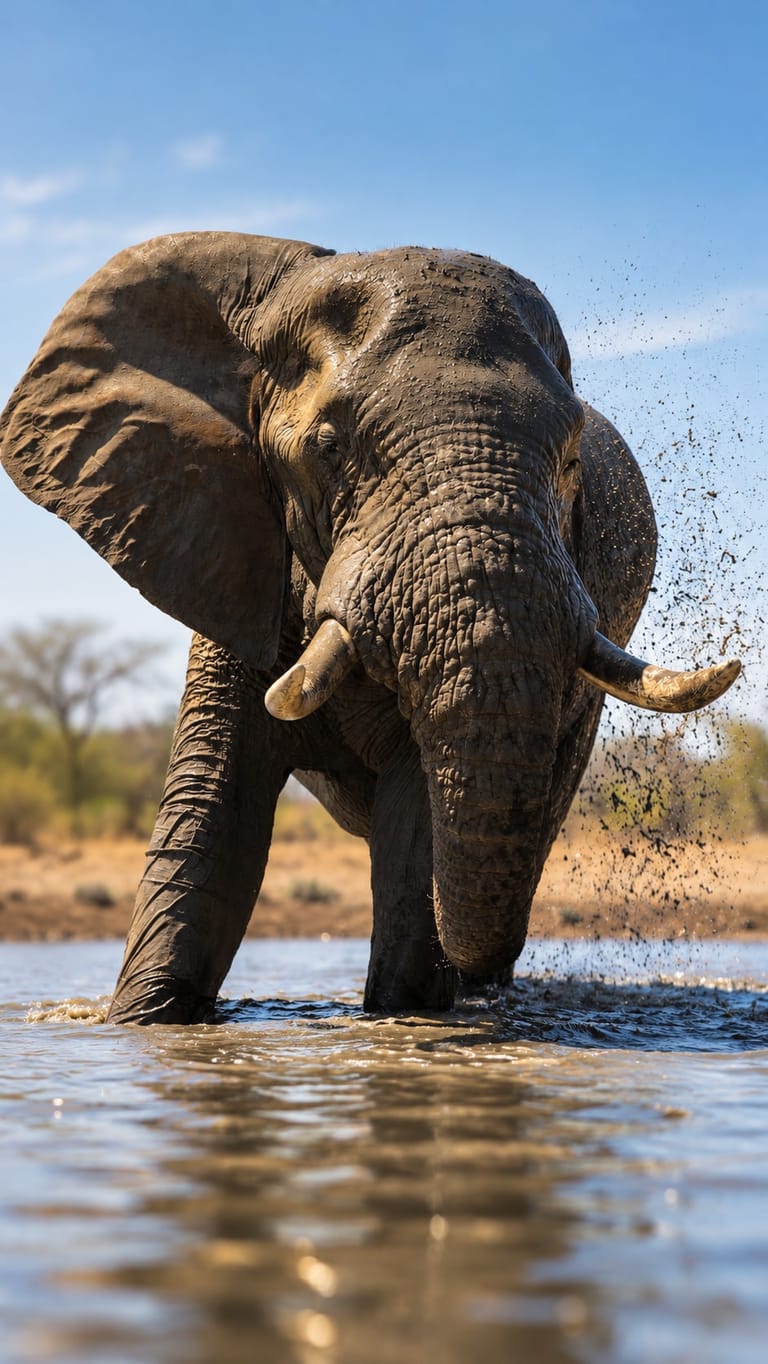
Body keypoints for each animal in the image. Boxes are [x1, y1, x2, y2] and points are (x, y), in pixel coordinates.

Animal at [0, 232, 740, 1023]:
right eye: (330, 448)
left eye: (570, 460)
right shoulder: (230, 547)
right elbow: (213, 825)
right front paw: (143, 1023)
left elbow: (415, 826)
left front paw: (406, 1014)